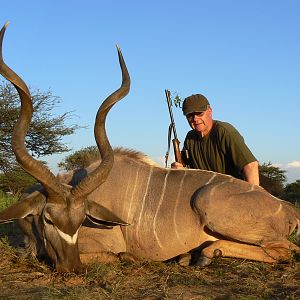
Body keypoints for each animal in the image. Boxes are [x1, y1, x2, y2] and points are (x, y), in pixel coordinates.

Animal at [0, 22, 298, 272]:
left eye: (81, 217)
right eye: (49, 219)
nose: (71, 268)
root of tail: (289, 210)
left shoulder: (104, 243)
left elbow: (116, 255)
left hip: (209, 205)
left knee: (285, 250)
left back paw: (204, 253)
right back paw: (188, 255)